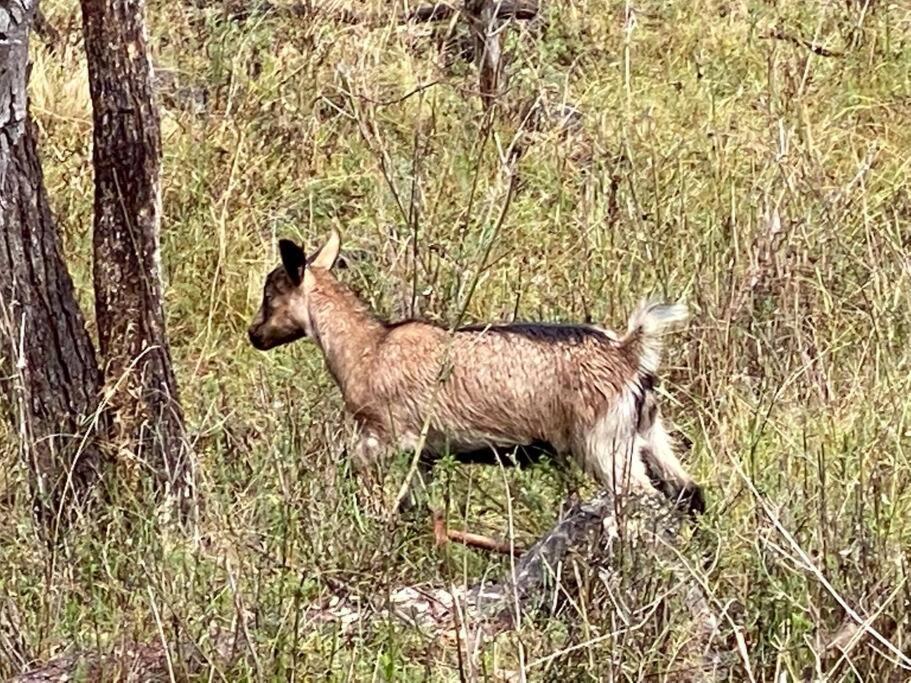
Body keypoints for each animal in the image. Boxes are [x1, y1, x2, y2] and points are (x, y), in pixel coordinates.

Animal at [248, 232, 704, 516]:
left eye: (271, 294)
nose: (255, 334)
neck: (369, 348)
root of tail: (628, 354)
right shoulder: (424, 454)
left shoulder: (388, 437)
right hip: (648, 432)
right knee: (688, 491)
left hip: (604, 442)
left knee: (643, 496)